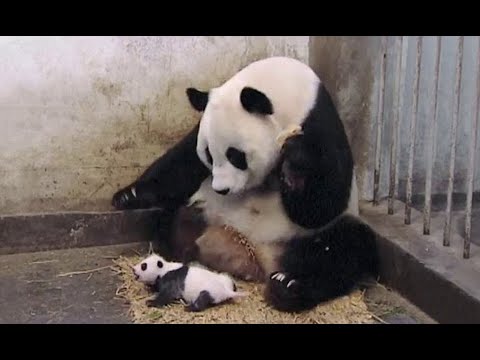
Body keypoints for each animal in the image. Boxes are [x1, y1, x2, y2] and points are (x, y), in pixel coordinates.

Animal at [112, 56, 378, 312]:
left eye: (235, 155)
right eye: (209, 154)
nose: (221, 189)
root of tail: (254, 258)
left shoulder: (320, 127)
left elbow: (322, 204)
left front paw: (295, 160)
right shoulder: (203, 126)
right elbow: (182, 162)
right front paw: (129, 196)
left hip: (302, 239)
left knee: (345, 249)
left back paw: (288, 286)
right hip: (207, 211)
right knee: (173, 218)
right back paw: (179, 248)